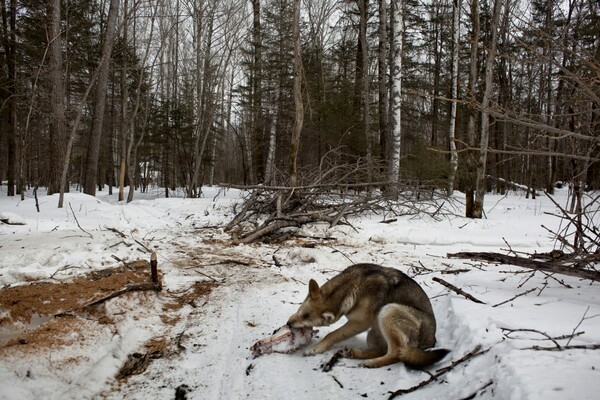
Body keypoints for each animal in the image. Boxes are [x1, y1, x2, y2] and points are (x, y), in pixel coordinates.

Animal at [288, 262, 450, 368]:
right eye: (299, 311)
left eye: (305, 318)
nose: (288, 323)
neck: (350, 287)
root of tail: (431, 341)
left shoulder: (359, 323)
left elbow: (332, 334)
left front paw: (316, 348)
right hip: (375, 330)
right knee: (381, 350)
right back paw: (354, 353)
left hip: (388, 311)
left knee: (396, 354)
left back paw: (372, 363)